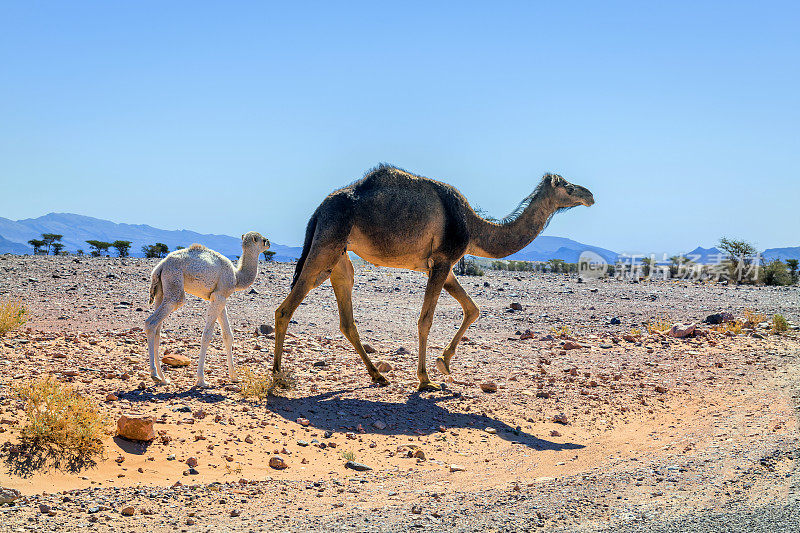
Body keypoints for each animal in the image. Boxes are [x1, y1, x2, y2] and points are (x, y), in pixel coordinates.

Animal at [144, 232, 268, 386]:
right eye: (263, 240)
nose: (269, 243)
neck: (237, 277)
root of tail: (160, 266)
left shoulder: (220, 298)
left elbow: (228, 335)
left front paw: (234, 377)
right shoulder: (219, 296)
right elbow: (207, 335)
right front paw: (201, 380)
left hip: (161, 291)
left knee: (157, 331)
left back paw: (163, 378)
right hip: (174, 285)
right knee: (151, 322)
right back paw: (154, 374)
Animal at [276, 165, 592, 390]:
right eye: (568, 186)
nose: (589, 195)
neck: (474, 227)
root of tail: (319, 209)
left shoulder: (443, 267)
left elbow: (473, 309)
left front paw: (444, 363)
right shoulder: (442, 261)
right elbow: (425, 320)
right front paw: (425, 379)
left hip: (339, 256)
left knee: (346, 317)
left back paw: (378, 375)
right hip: (327, 241)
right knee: (286, 308)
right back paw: (278, 375)